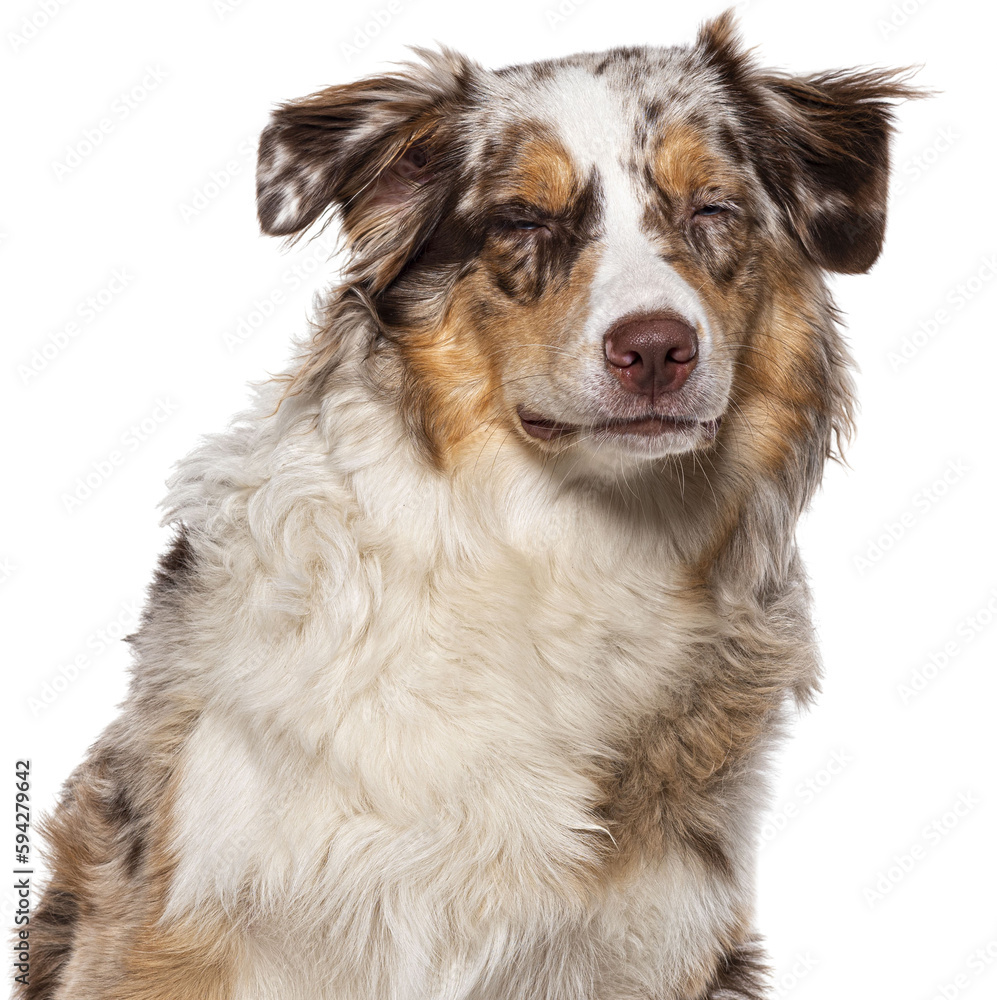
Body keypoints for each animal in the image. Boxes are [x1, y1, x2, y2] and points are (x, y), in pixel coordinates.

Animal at [19, 9, 916, 1000]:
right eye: (521, 218)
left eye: (712, 209)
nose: (655, 348)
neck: (566, 539)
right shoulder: (178, 911)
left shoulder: (658, 940)